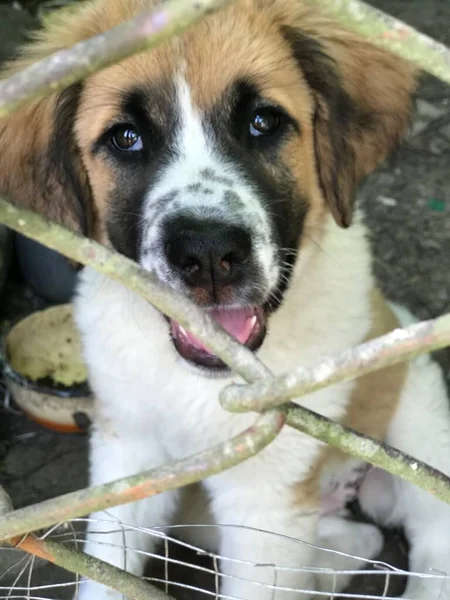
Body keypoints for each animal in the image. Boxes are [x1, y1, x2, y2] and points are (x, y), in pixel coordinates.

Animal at [0, 1, 450, 600]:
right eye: (125, 138)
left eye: (263, 122)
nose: (208, 254)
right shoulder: (128, 449)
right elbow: (108, 565)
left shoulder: (267, 497)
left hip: (420, 415)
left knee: (431, 538)